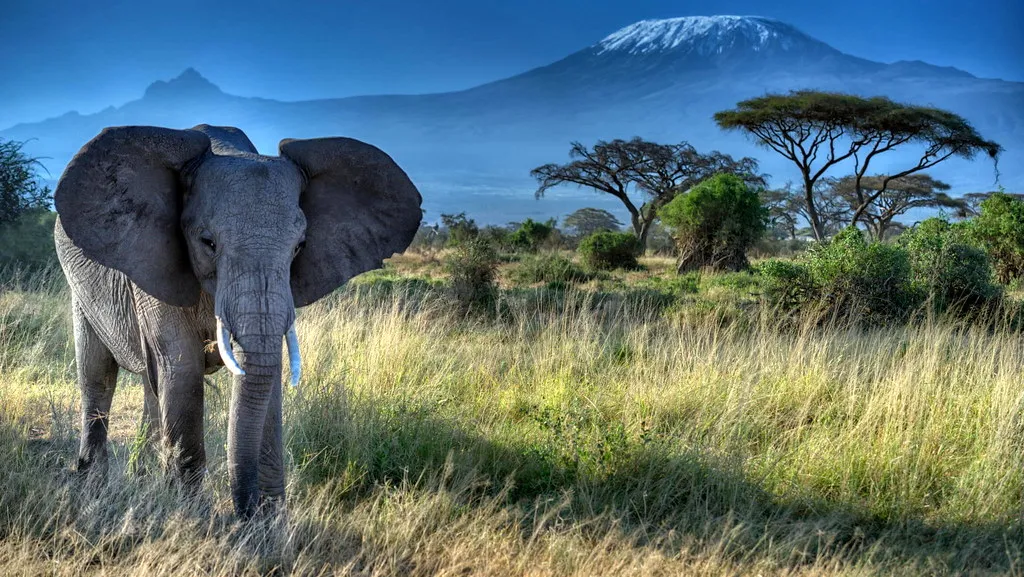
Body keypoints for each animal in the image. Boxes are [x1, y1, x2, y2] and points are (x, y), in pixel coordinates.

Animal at [54, 124, 421, 516]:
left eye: (299, 247)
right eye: (208, 242)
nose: (244, 513)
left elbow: (266, 373)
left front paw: (270, 522)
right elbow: (182, 367)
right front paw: (190, 516)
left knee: (151, 384)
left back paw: (142, 476)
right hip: (79, 284)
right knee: (98, 372)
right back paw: (92, 482)